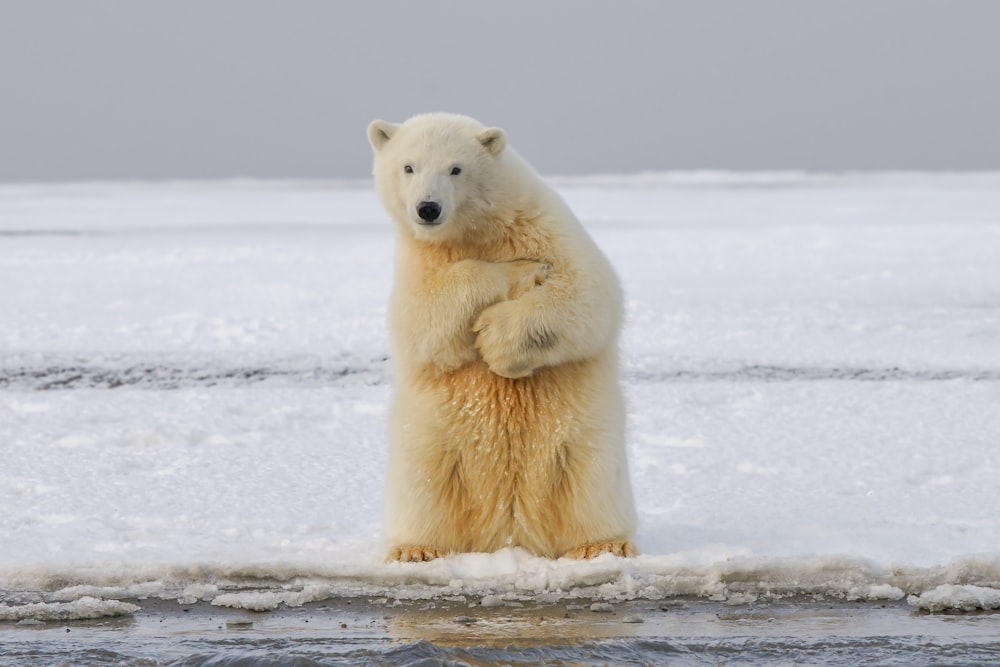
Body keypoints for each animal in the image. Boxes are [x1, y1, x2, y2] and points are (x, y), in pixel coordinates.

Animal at [366, 112, 632, 560]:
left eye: (456, 168)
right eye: (408, 166)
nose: (428, 208)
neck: (478, 229)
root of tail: (510, 534)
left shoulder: (547, 227)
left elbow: (588, 294)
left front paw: (496, 340)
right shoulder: (418, 261)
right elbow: (423, 318)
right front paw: (517, 271)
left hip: (583, 441)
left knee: (589, 483)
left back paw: (602, 545)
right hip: (432, 443)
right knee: (424, 485)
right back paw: (416, 549)